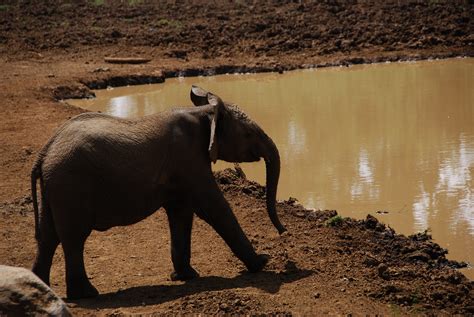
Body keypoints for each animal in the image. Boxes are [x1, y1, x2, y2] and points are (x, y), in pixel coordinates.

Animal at [32, 85, 286, 298]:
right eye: (249, 134)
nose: (283, 231)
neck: (204, 113)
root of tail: (44, 153)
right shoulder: (189, 160)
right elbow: (214, 208)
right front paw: (263, 263)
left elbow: (182, 213)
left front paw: (186, 276)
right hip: (70, 185)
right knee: (73, 238)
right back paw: (86, 295)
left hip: (55, 187)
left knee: (48, 237)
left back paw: (42, 289)